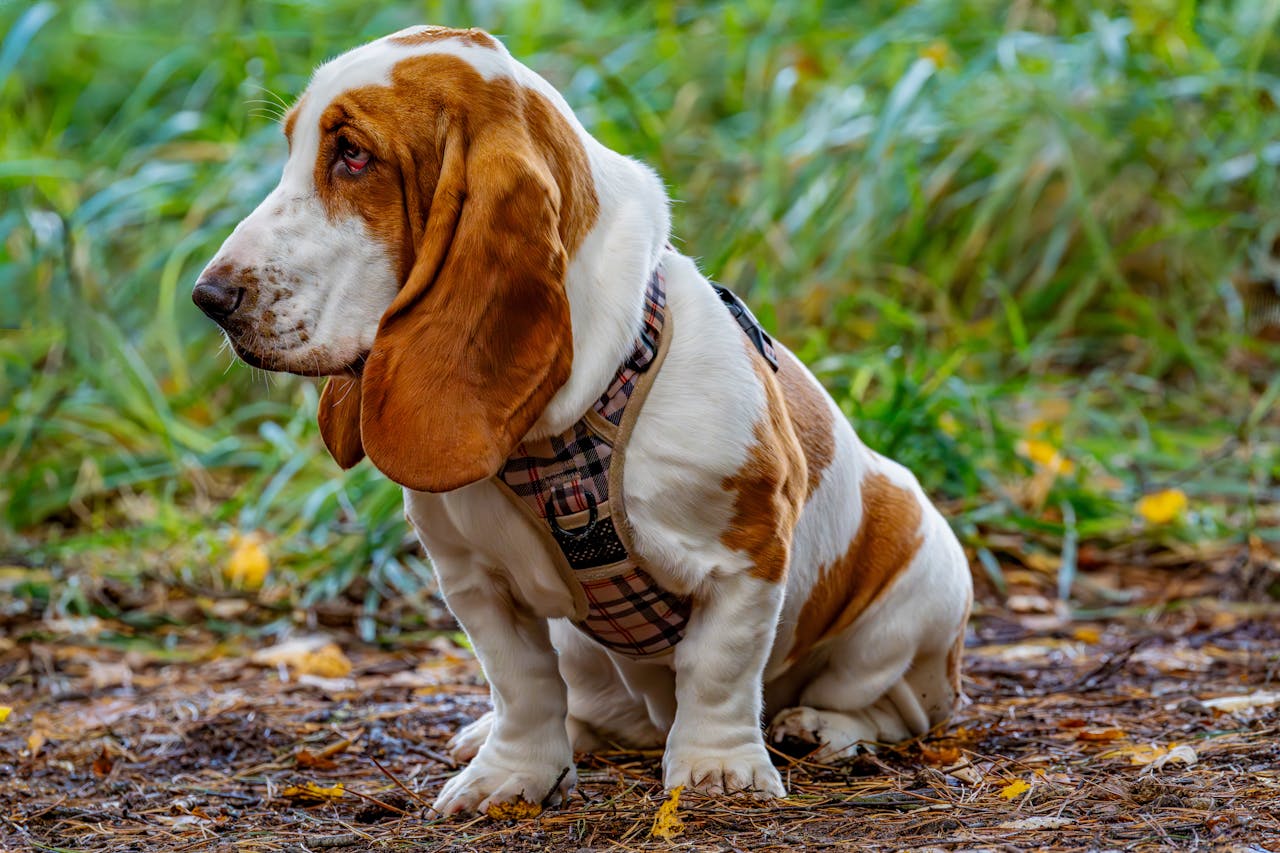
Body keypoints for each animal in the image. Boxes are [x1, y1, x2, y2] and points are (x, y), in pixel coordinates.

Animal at [192, 24, 967, 809]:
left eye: (353, 154)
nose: (209, 298)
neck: (558, 435)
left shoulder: (747, 552)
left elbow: (717, 670)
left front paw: (716, 769)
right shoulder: (473, 578)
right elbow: (522, 683)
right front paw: (512, 774)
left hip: (917, 602)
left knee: (894, 707)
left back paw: (823, 728)